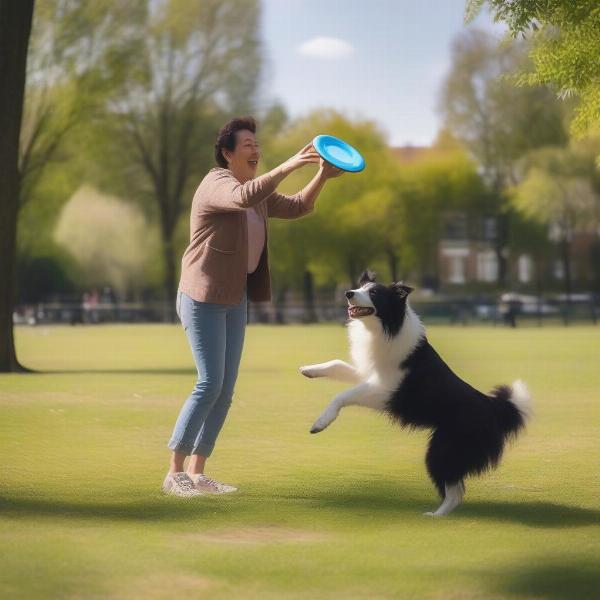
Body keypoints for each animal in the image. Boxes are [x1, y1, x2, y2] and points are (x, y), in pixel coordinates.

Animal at [300, 272, 528, 516]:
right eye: (360, 287)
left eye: (374, 292)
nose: (348, 293)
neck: (387, 327)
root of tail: (492, 407)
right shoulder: (368, 374)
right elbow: (337, 364)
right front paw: (309, 370)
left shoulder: (386, 390)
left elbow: (341, 396)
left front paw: (320, 422)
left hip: (442, 450)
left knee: (454, 491)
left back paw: (434, 516)